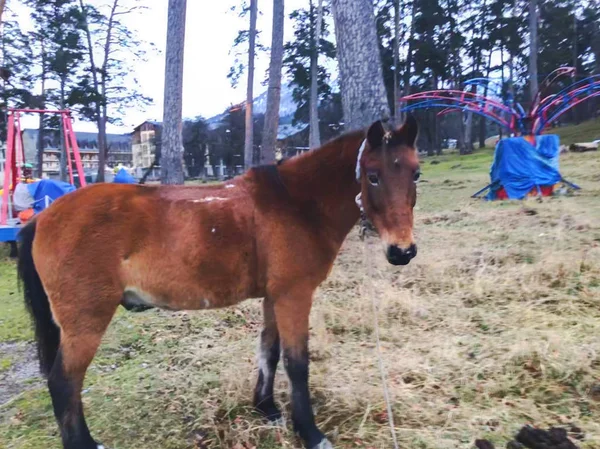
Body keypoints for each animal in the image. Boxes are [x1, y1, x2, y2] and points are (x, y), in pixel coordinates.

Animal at [19, 117, 422, 448]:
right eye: (372, 175)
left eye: (415, 173)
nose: (401, 251)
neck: (297, 204)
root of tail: (44, 217)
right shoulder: (294, 296)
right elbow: (297, 364)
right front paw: (310, 433)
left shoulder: (274, 298)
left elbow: (268, 352)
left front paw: (267, 409)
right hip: (86, 323)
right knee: (64, 383)